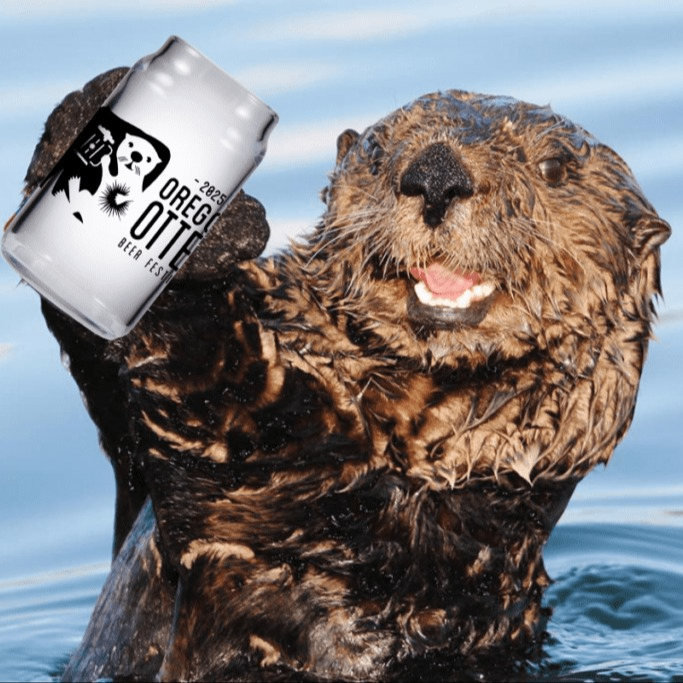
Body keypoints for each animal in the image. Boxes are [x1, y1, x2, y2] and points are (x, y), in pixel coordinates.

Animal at [11, 70, 669, 681]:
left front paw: (211, 228)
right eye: (378, 151)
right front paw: (102, 118)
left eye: (554, 166)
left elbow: (226, 397)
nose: (436, 174)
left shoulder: (344, 515)